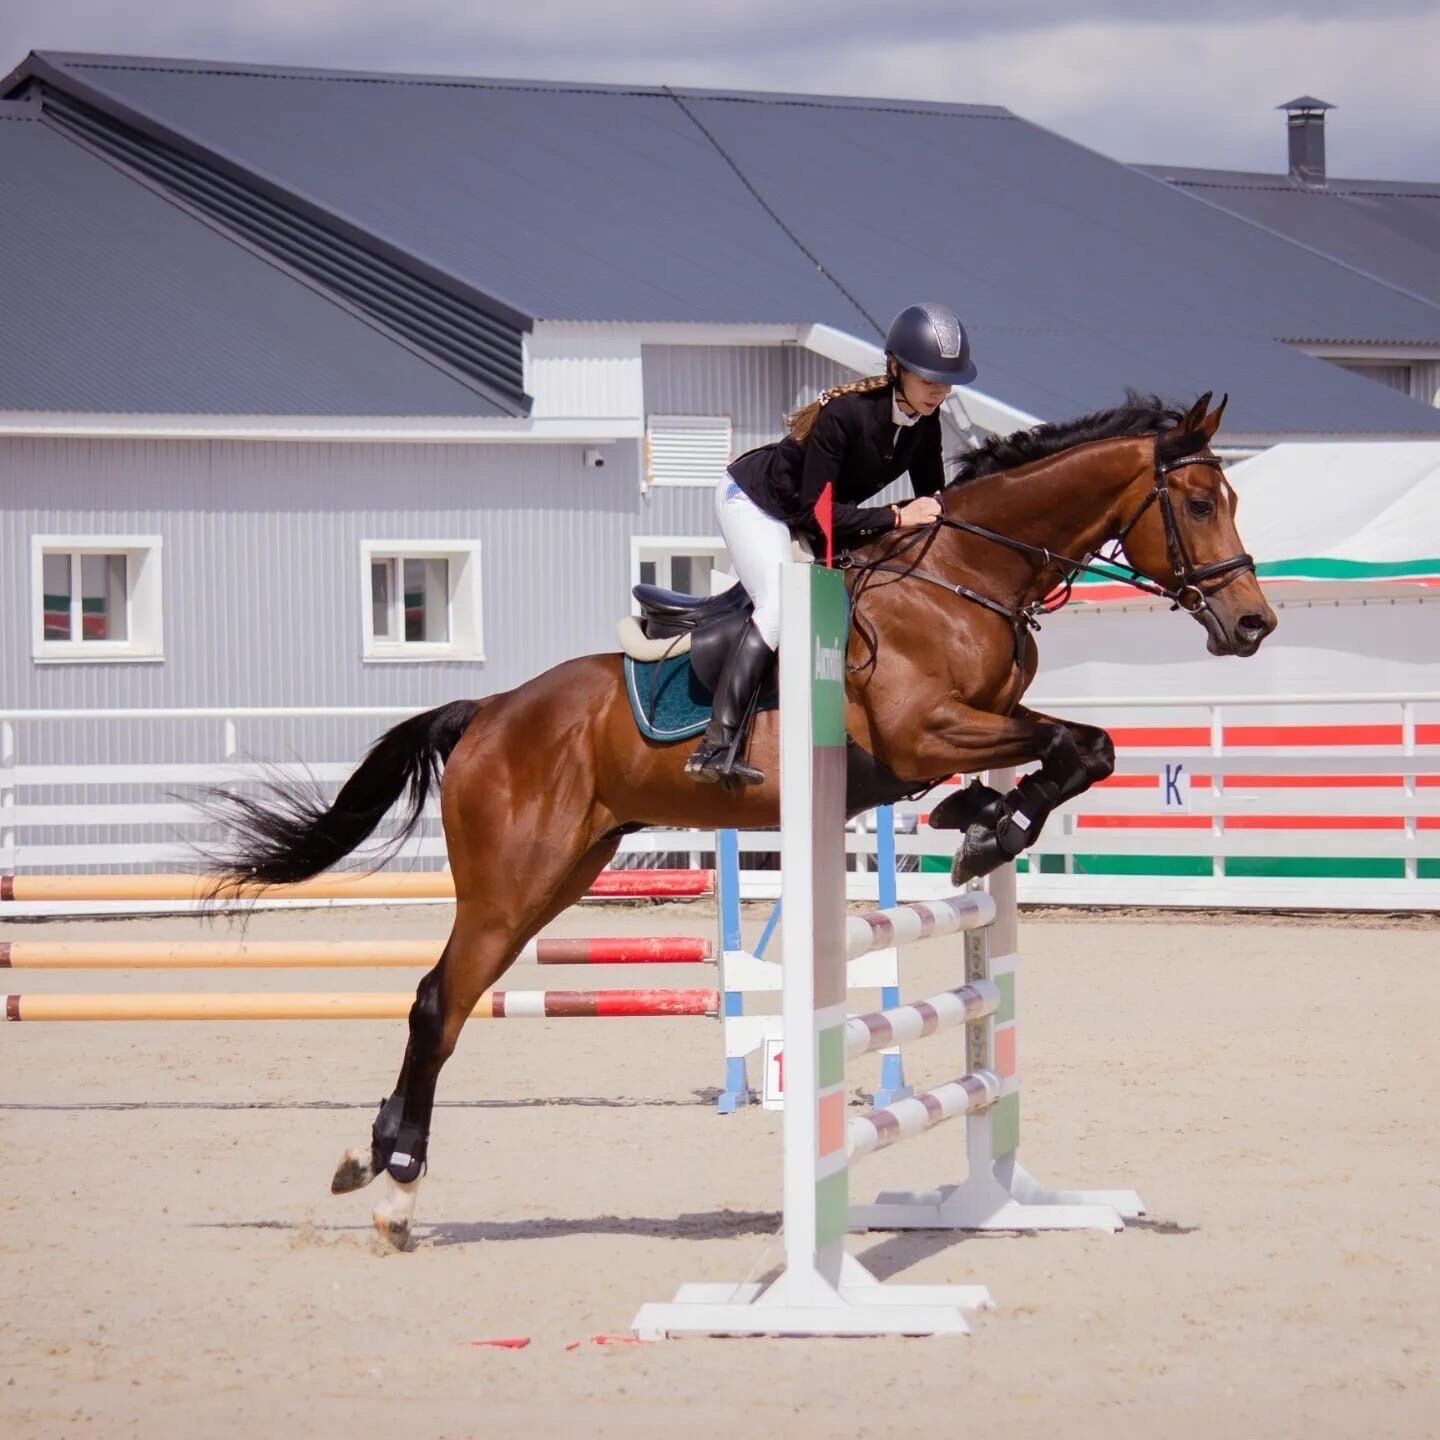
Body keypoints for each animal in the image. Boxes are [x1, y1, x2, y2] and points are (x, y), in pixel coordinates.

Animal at [205, 388, 1272, 1244]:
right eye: (1196, 502)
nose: (1253, 624)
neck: (967, 574)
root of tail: (491, 709)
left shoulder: (970, 731)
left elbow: (1076, 748)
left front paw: (980, 822)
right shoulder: (925, 733)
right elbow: (1080, 745)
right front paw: (992, 831)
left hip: (566, 871)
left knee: (451, 1003)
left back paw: (373, 1160)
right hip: (512, 881)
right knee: (437, 1001)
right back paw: (396, 1188)